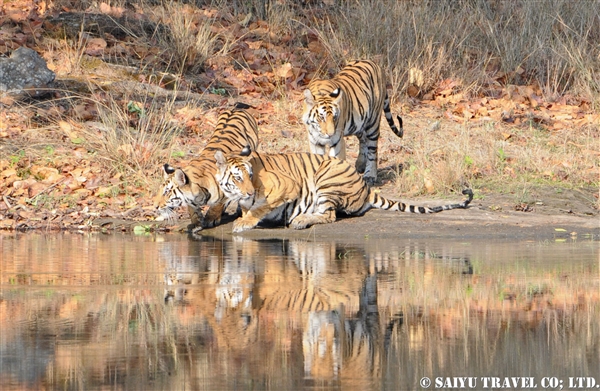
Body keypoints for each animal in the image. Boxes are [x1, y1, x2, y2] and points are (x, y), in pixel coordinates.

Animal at [213, 148, 472, 233]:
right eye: (238, 178)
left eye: (250, 176)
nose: (248, 192)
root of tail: (365, 186)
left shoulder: (287, 185)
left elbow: (260, 207)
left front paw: (244, 222)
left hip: (326, 178)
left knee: (329, 215)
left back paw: (300, 220)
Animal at [302, 59, 406, 187]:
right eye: (321, 117)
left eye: (335, 117)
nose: (330, 134)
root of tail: (376, 65)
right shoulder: (315, 142)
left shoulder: (337, 141)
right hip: (358, 123)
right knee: (363, 140)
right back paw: (360, 164)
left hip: (373, 121)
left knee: (372, 150)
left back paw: (370, 175)